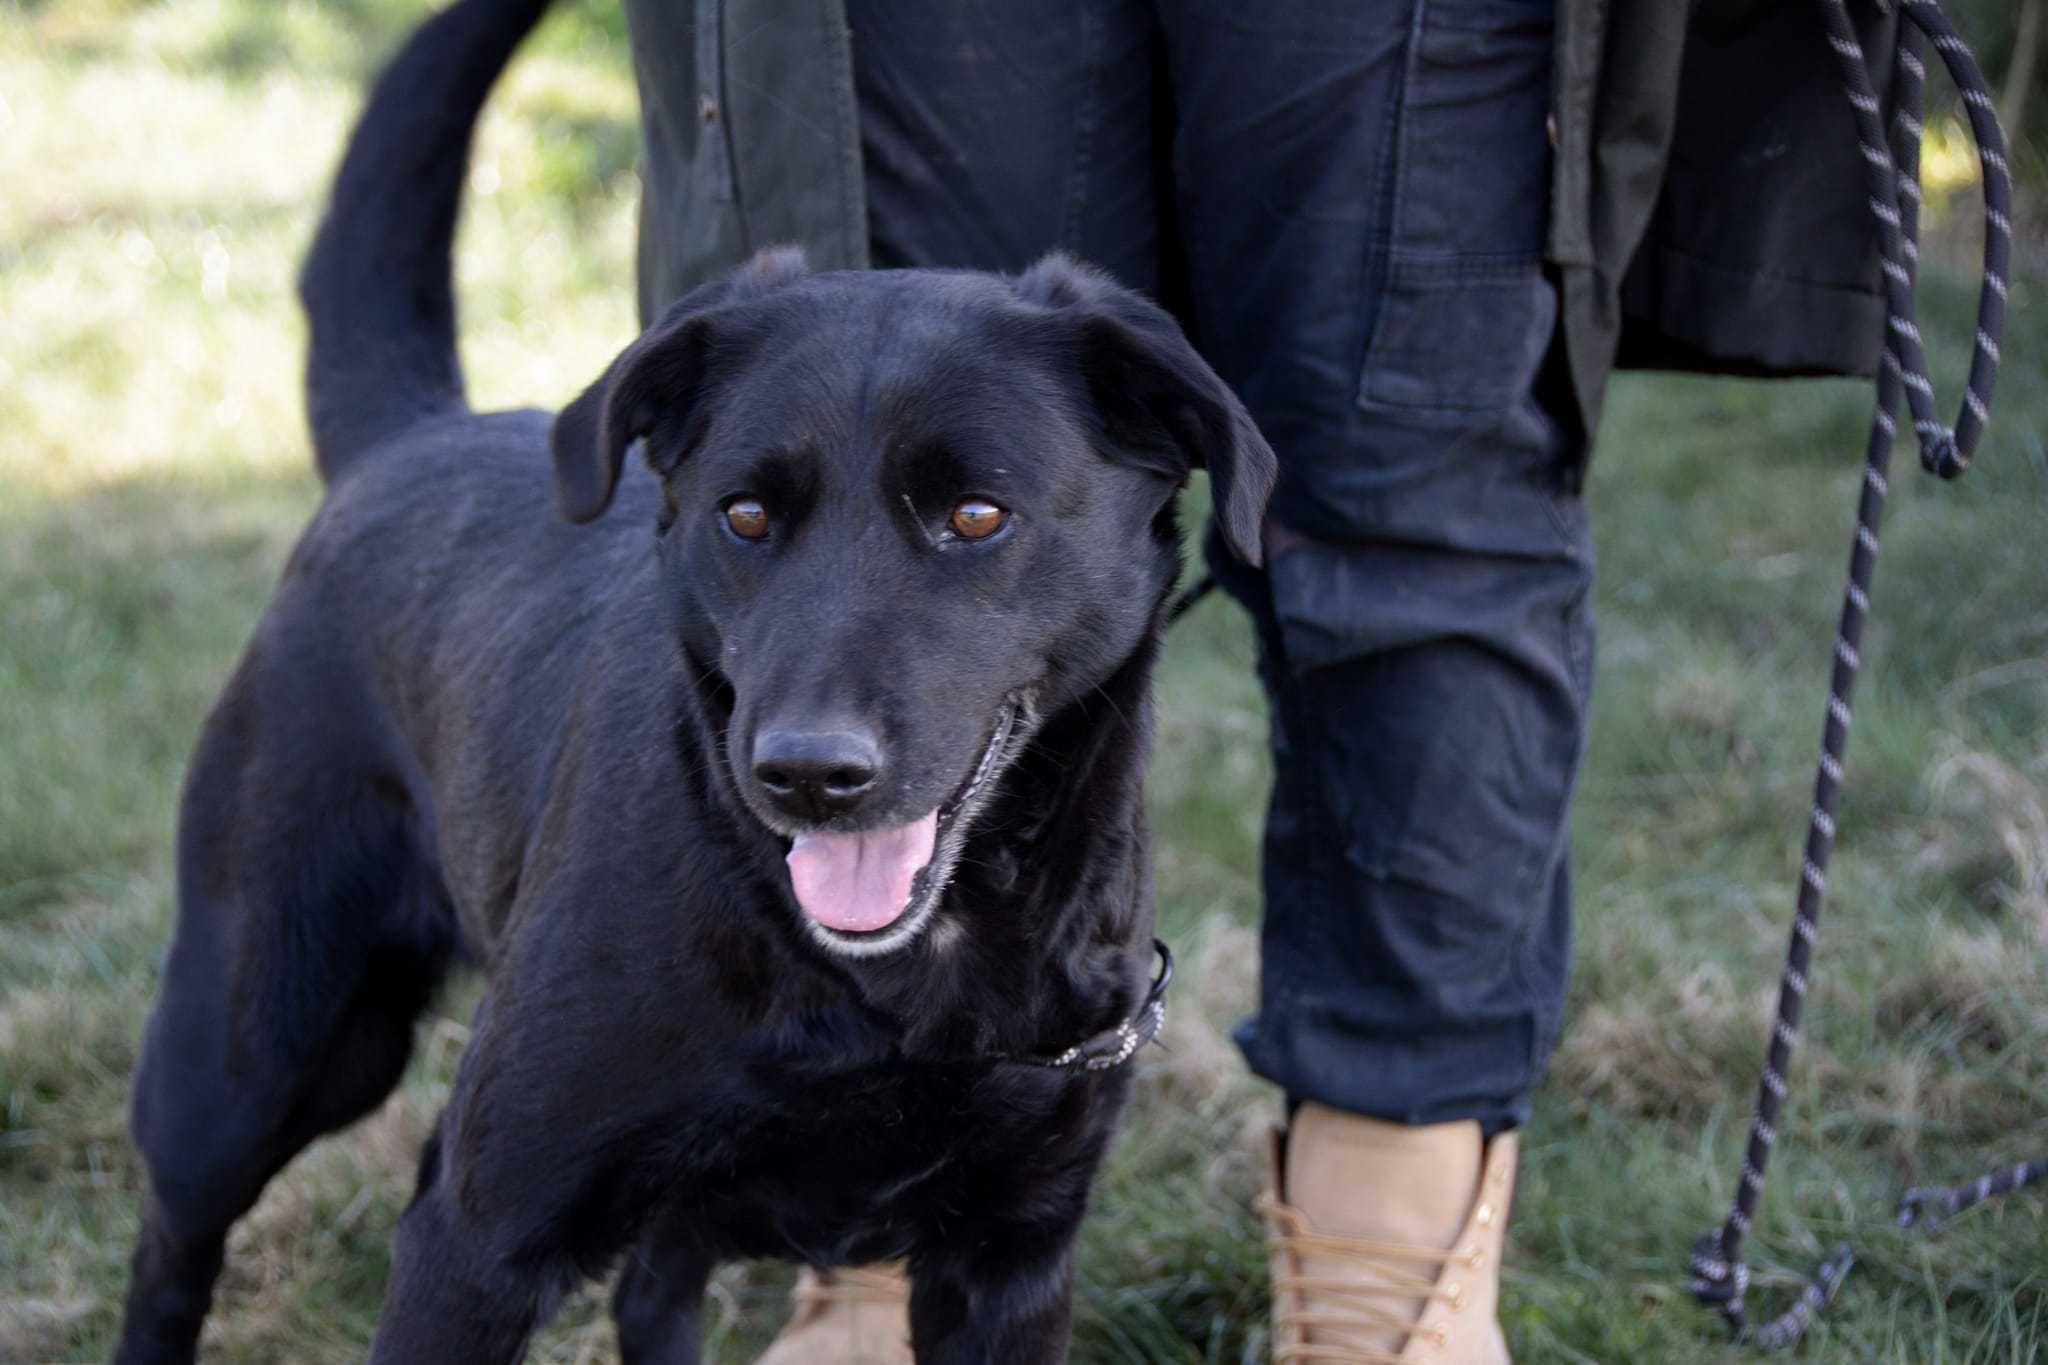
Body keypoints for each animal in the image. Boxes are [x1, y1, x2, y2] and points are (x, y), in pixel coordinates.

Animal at [112, 0, 1269, 1358]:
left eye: (977, 515)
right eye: (746, 515)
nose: (807, 775)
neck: (882, 985)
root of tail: (413, 434)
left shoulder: (1012, 1264)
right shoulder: (478, 1233)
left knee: (653, 1287)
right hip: (262, 1045)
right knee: (173, 1241)